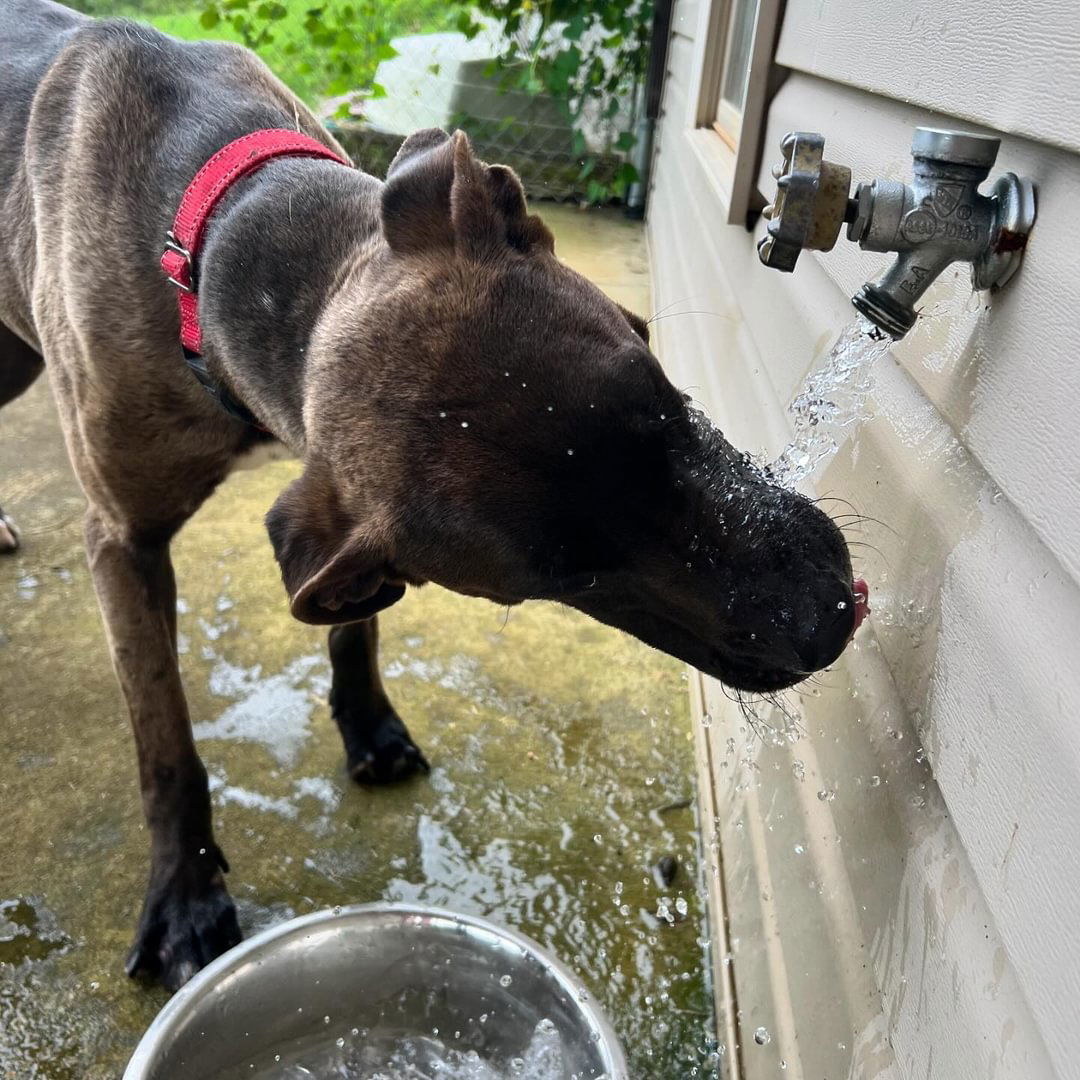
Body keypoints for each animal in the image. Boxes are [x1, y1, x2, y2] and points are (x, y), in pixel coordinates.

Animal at [0, 2, 864, 993]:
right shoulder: (124, 542)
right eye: (570, 576)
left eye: (658, 400)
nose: (828, 616)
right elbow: (165, 742)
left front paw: (368, 722)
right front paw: (185, 893)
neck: (231, 249)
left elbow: (357, 619)